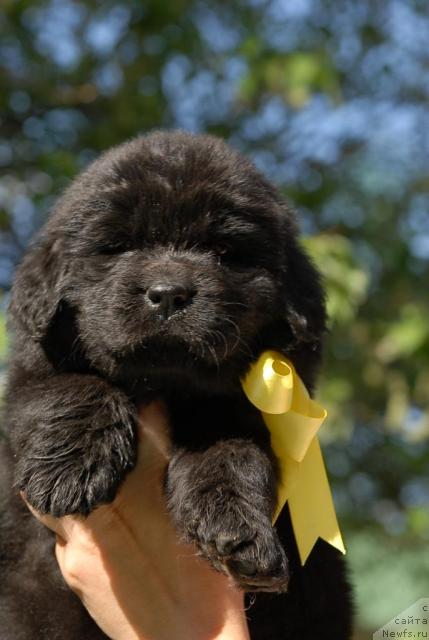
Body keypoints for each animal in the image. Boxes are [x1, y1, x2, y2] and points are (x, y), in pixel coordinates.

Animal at [0, 131, 352, 640]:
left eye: (223, 251)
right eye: (118, 246)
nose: (168, 293)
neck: (162, 384)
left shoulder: (244, 410)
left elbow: (229, 451)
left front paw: (236, 530)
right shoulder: (30, 376)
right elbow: (69, 389)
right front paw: (69, 471)